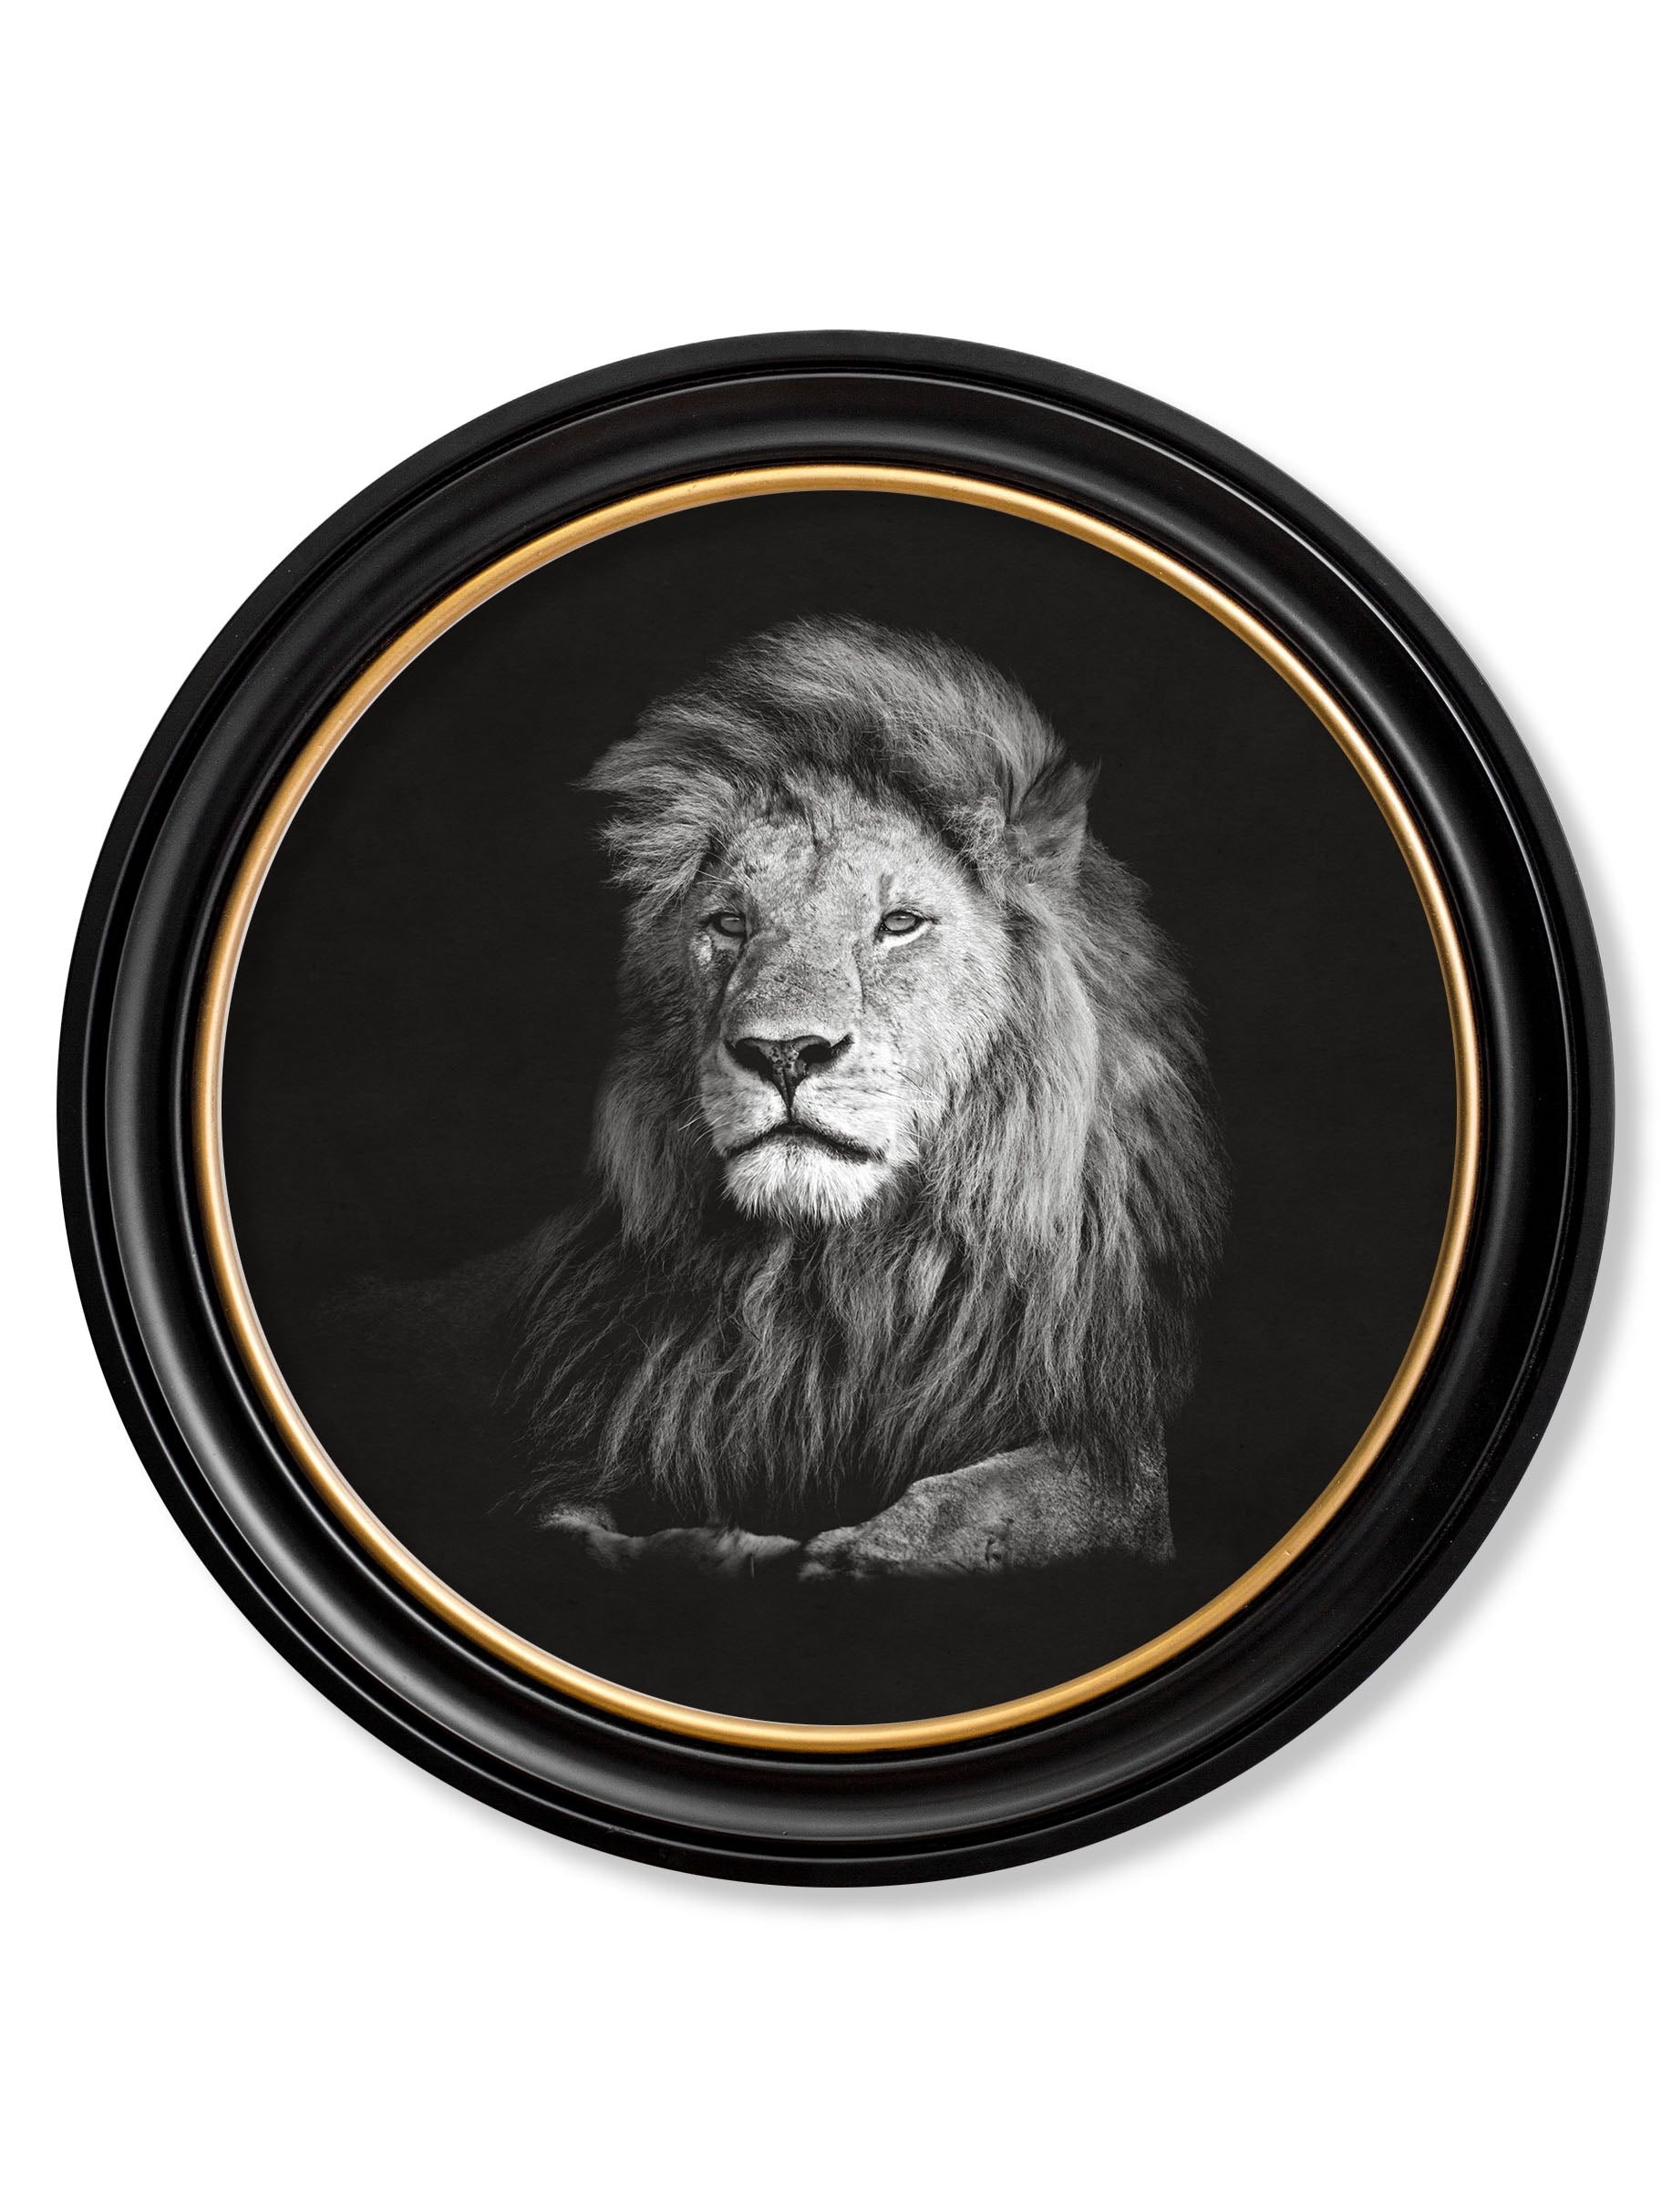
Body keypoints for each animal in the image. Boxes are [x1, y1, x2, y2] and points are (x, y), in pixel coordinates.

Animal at [496, 616, 1227, 1579]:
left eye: (899, 924)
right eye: (729, 923)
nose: (783, 1052)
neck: (839, 1278)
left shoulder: (1117, 1451)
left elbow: (999, 1499)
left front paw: (856, 1553)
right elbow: (563, 1530)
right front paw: (716, 1547)